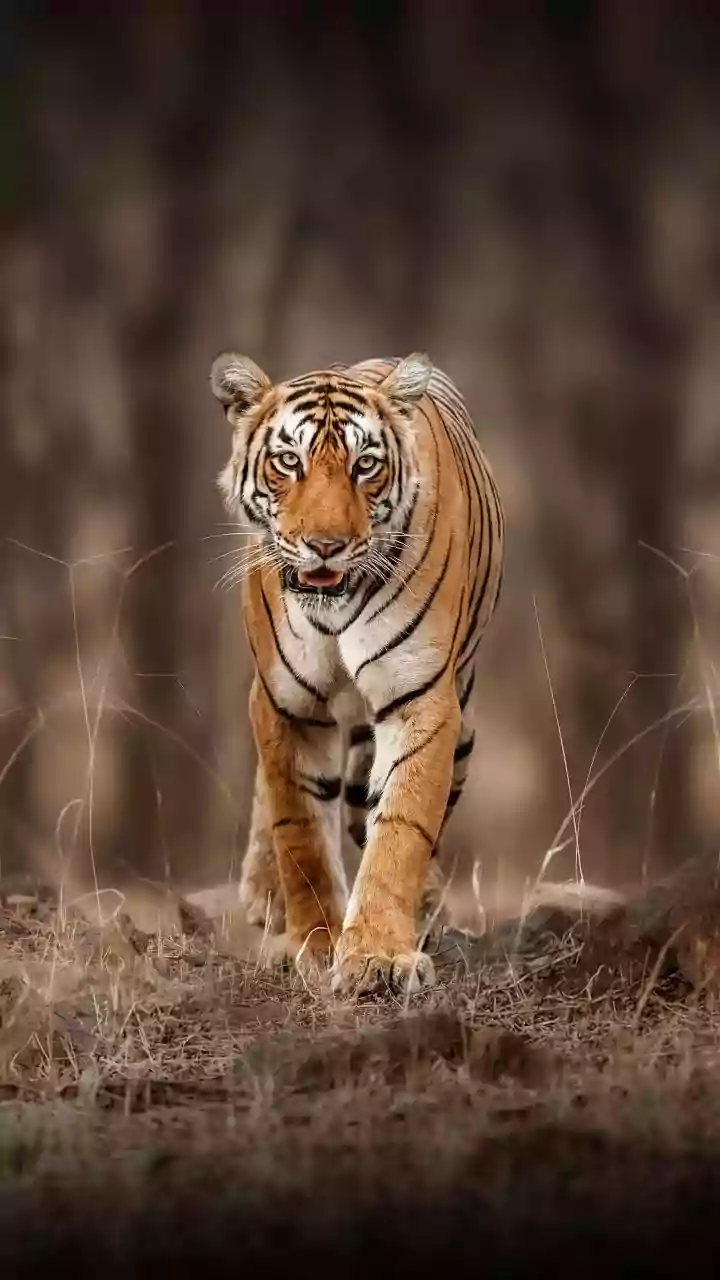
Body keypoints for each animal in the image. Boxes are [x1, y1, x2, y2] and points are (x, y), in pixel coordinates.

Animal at [210, 351, 505, 996]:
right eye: (288, 462)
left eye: (364, 465)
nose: (325, 545)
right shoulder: (283, 703)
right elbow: (298, 830)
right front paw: (315, 943)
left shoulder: (421, 698)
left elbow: (401, 826)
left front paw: (376, 956)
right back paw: (265, 895)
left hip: (464, 724)